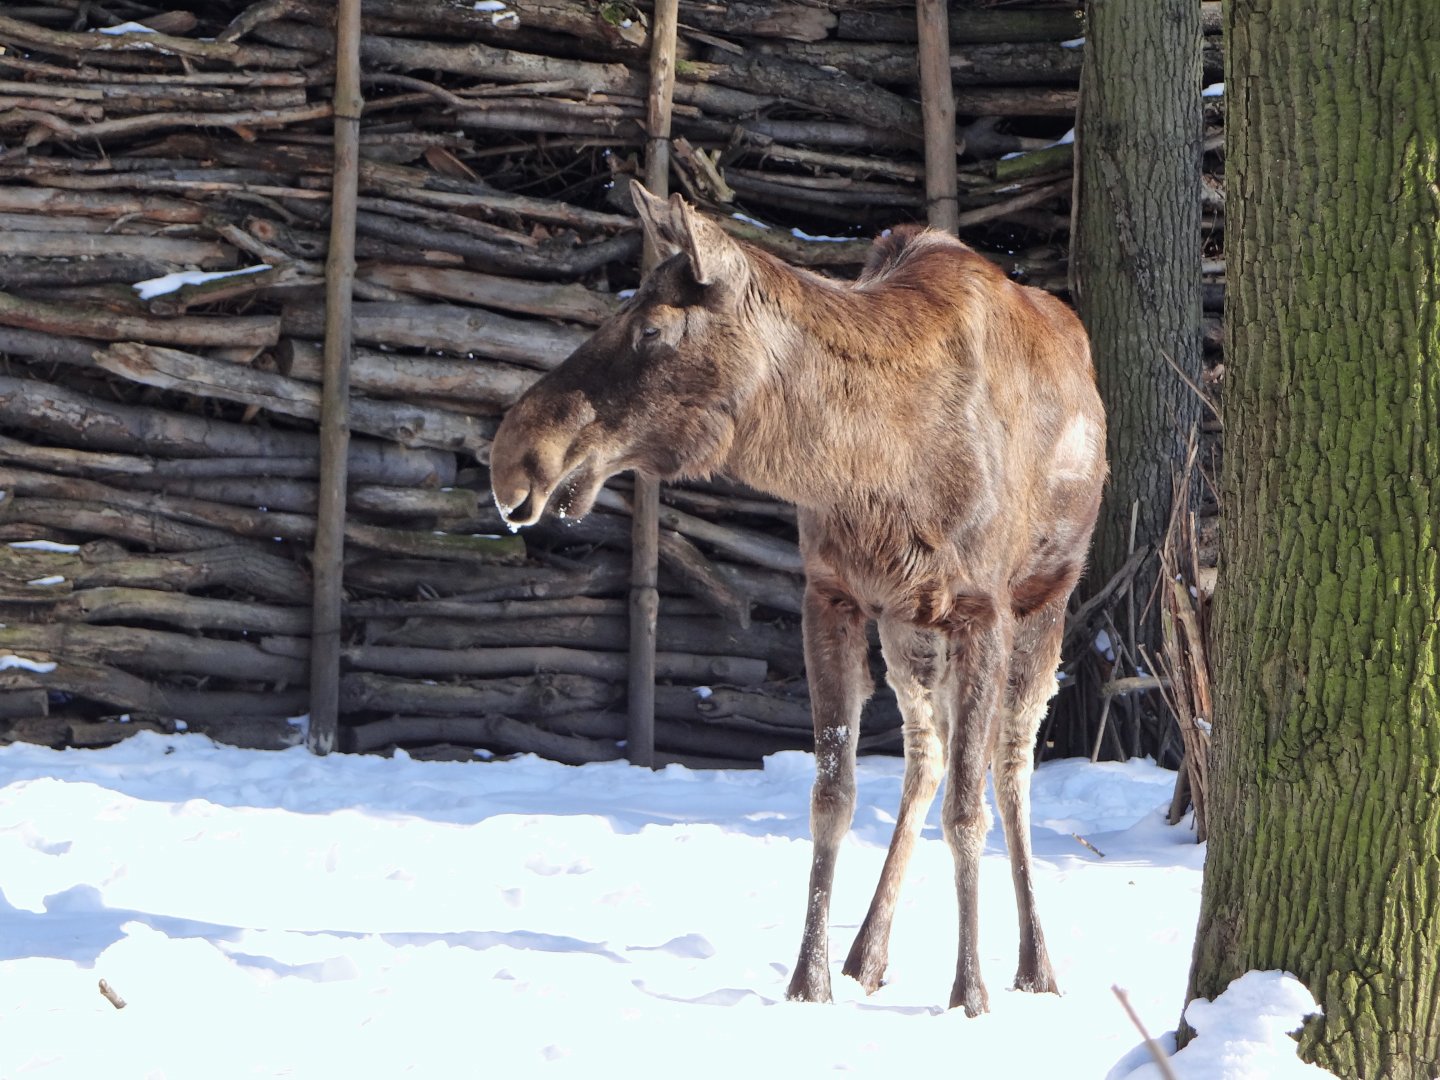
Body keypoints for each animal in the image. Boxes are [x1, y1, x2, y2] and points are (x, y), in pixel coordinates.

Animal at [489, 180, 1106, 1013]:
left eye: (652, 328)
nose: (512, 458)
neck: (874, 466)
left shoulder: (983, 609)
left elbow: (970, 810)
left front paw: (968, 995)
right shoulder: (832, 595)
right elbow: (832, 794)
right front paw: (808, 980)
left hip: (1046, 598)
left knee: (1010, 766)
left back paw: (1036, 966)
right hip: (909, 628)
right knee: (927, 755)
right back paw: (866, 954)